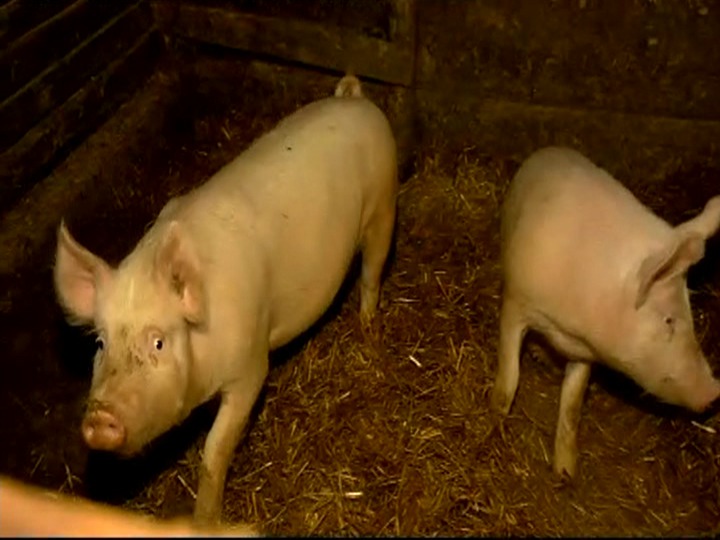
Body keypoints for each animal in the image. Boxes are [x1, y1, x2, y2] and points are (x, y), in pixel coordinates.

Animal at [53, 74, 398, 525]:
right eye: (99, 343)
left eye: (159, 342)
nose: (99, 417)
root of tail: (355, 101)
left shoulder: (252, 367)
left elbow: (214, 451)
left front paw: (204, 521)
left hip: (384, 208)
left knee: (373, 273)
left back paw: (368, 327)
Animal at [490, 146, 720, 479]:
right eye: (668, 320)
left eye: (691, 313)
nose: (714, 391)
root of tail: (552, 149)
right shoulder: (515, 302)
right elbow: (509, 379)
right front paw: (494, 424)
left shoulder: (586, 352)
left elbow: (572, 405)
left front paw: (566, 474)